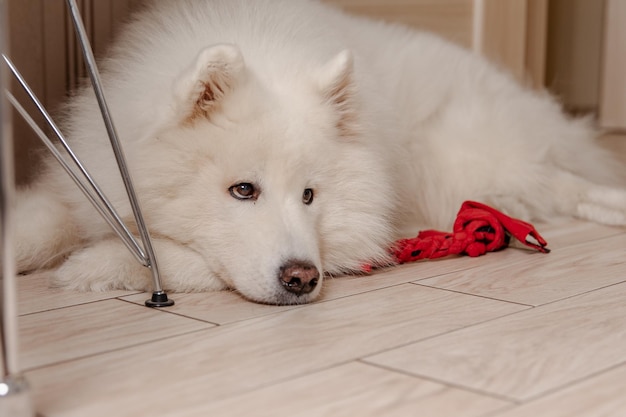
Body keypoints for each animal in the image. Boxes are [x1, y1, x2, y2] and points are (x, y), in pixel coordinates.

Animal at [14, 0, 624, 306]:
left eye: (309, 195)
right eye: (243, 189)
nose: (302, 278)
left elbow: (176, 257)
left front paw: (94, 265)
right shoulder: (78, 179)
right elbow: (39, 221)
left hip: (460, 162)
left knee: (565, 184)